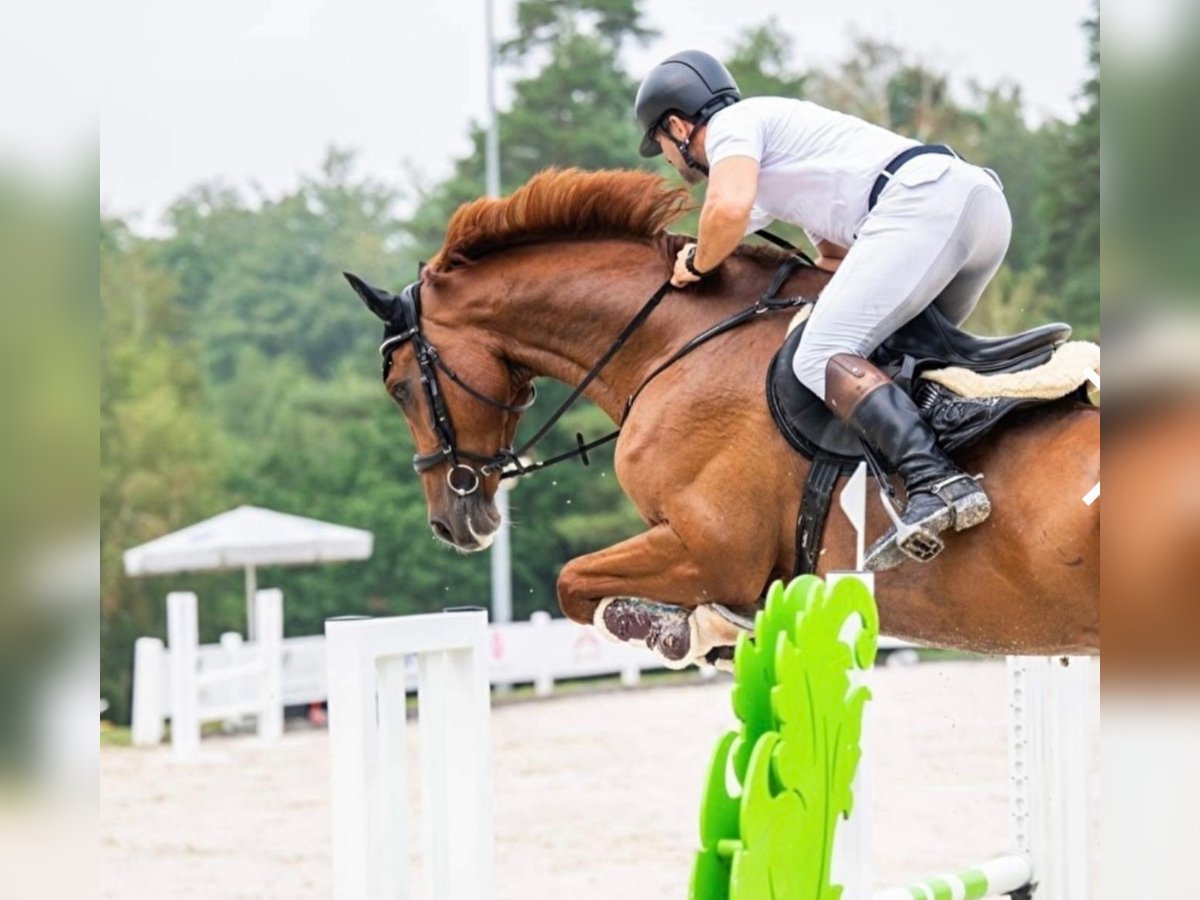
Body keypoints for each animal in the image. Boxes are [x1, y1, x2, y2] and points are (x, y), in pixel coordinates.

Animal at [348, 169, 1099, 667]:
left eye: (401, 385)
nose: (453, 523)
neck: (675, 342)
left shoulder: (712, 547)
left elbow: (575, 584)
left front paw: (685, 630)